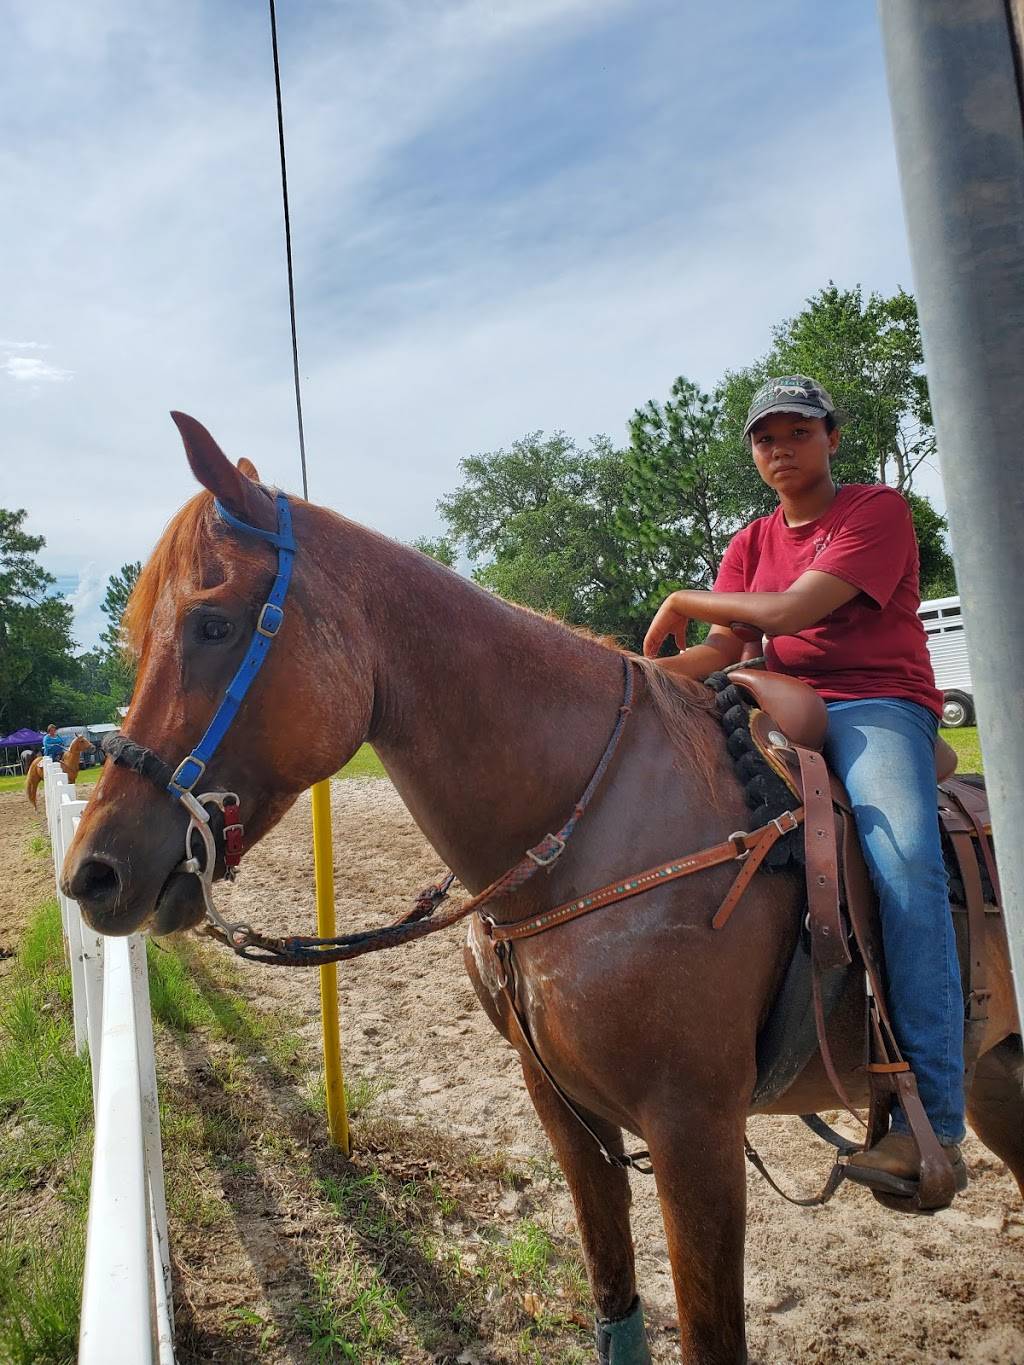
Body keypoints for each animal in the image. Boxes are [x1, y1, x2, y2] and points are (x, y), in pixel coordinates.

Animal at [62, 417, 1021, 1365]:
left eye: (213, 623)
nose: (90, 874)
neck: (590, 838)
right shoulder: (567, 1111)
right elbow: (614, 1304)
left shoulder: (696, 1129)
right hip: (997, 1075)